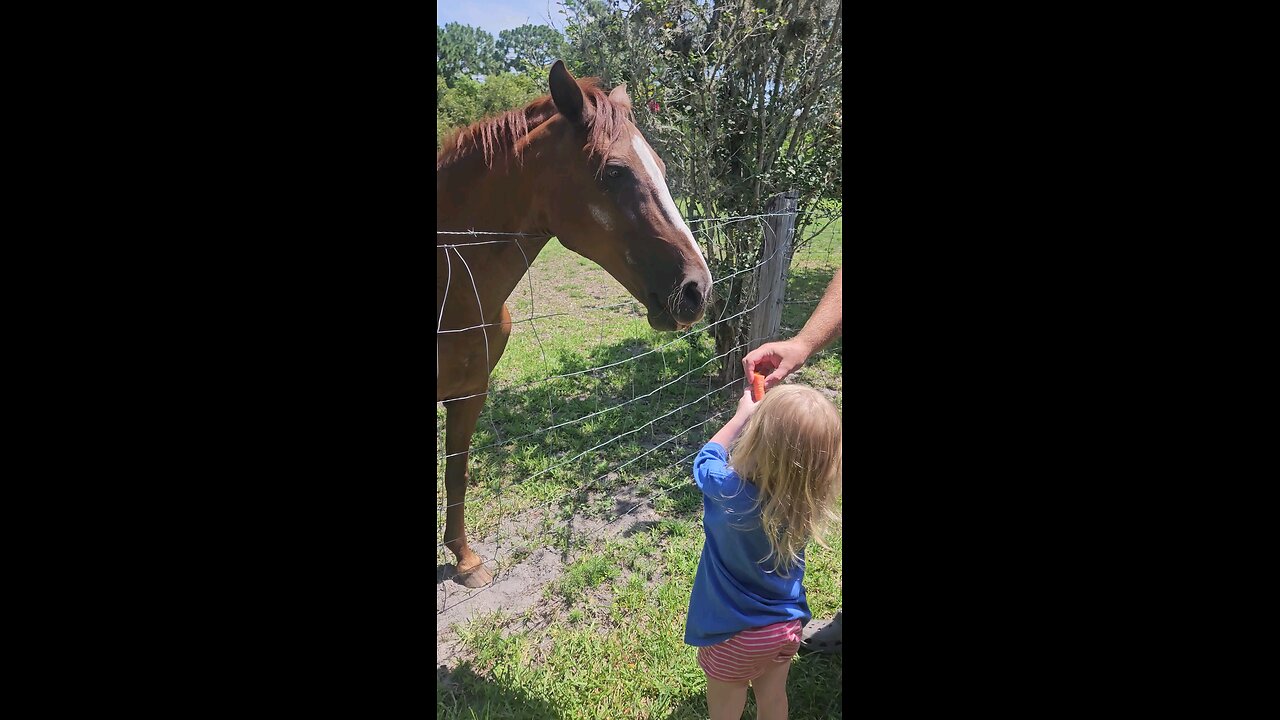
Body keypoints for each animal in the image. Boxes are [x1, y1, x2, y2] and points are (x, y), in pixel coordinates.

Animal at [437, 61, 711, 586]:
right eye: (614, 172)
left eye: (662, 169)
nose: (697, 290)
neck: (453, 291)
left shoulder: (470, 394)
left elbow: (455, 471)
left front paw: (465, 560)